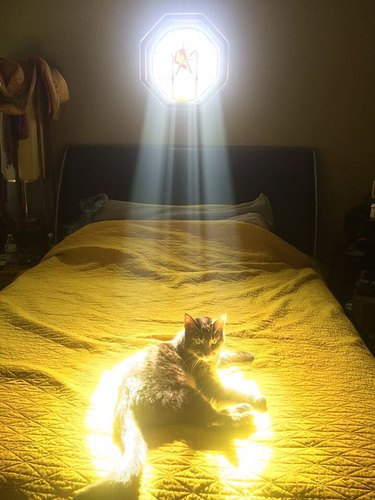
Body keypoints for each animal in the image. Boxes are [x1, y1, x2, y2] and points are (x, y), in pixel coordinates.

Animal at [75, 314, 266, 498]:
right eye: (198, 341)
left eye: (213, 341)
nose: (207, 352)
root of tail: (124, 400)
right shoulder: (212, 386)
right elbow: (234, 391)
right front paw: (258, 399)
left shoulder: (216, 362)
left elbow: (226, 354)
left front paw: (246, 354)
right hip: (188, 393)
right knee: (212, 419)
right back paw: (244, 415)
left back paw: (241, 409)